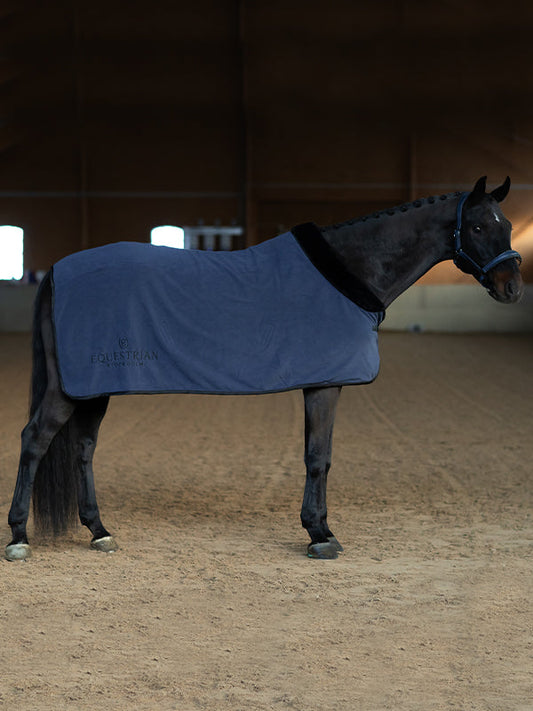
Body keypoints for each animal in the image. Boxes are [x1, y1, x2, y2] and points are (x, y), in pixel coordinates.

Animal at [5, 176, 523, 562]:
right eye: (478, 227)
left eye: (508, 224)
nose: (513, 287)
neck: (350, 270)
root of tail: (57, 270)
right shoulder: (325, 385)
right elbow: (319, 457)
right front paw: (320, 535)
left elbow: (319, 456)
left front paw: (318, 528)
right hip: (72, 387)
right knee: (35, 440)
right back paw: (19, 538)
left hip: (93, 386)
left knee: (83, 449)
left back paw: (99, 531)